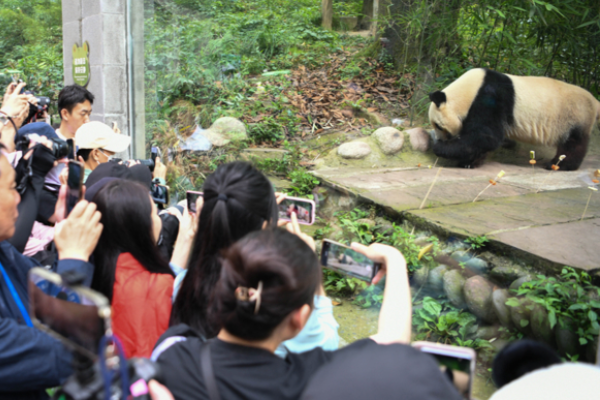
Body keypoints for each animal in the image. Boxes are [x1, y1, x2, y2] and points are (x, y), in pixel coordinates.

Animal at [428, 68, 596, 170]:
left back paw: (559, 165)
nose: (440, 139)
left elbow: (486, 136)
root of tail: (595, 101)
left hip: (574, 116)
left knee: (573, 143)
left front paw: (443, 149)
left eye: (439, 126)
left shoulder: (490, 99)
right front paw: (469, 162)